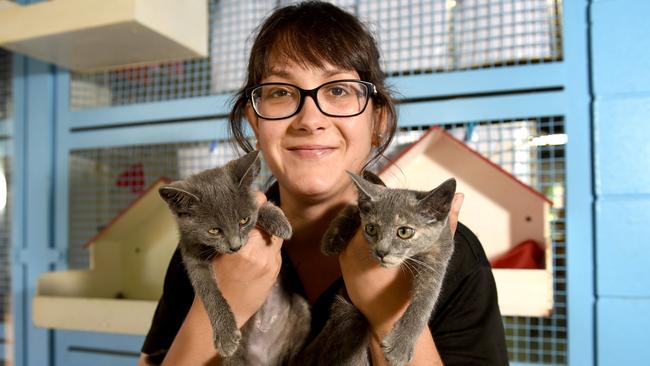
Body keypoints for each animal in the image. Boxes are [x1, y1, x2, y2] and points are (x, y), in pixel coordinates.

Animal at [158, 151, 308, 364]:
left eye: (243, 220)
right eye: (214, 231)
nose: (235, 246)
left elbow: (258, 206)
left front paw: (278, 220)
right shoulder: (191, 254)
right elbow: (208, 290)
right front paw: (225, 336)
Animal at [304, 172, 456, 366]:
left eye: (404, 232)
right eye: (371, 228)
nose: (381, 252)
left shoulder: (438, 256)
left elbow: (426, 298)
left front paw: (400, 344)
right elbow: (351, 207)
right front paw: (331, 239)